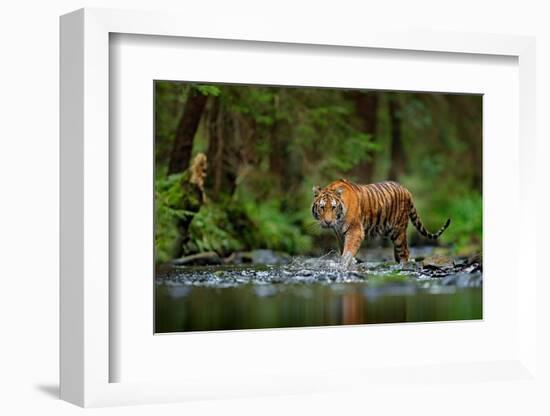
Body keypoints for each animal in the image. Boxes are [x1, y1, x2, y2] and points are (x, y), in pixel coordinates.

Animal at [312, 178, 450, 264]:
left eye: (333, 207)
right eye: (322, 207)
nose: (328, 222)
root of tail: (406, 189)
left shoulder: (355, 230)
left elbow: (348, 250)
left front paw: (344, 264)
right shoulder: (340, 234)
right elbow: (343, 249)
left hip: (398, 231)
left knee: (405, 252)